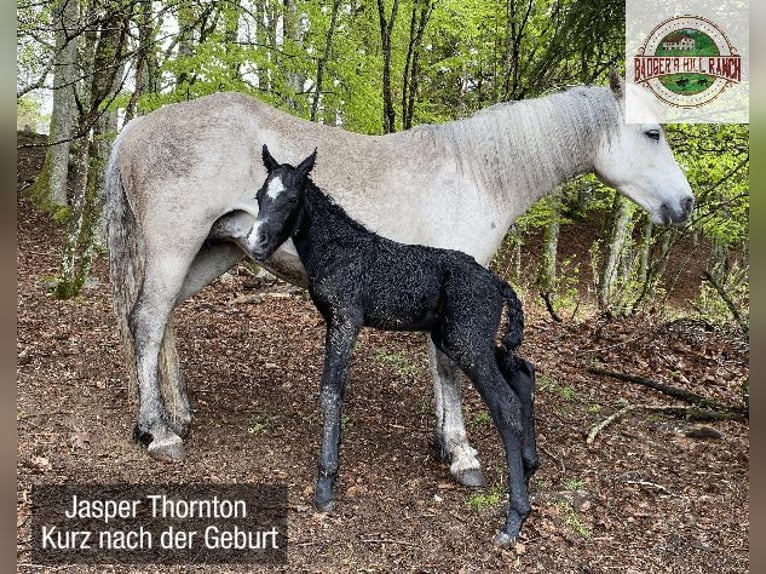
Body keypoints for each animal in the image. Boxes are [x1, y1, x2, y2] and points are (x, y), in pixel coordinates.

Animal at [106, 72, 696, 486]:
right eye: (653, 132)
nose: (686, 203)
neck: (477, 173)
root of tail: (135, 127)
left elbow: (443, 370)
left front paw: (445, 442)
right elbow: (449, 369)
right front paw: (462, 454)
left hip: (212, 251)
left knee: (162, 319)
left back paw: (176, 413)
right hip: (176, 246)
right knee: (148, 319)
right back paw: (159, 432)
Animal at [222, 146, 540, 548]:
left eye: (292, 199)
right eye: (260, 196)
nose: (257, 245)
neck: (338, 247)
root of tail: (498, 283)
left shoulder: (346, 318)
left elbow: (331, 390)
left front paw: (325, 486)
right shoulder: (336, 321)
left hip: (467, 339)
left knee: (506, 404)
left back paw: (514, 519)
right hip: (464, 337)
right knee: (521, 371)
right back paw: (529, 468)